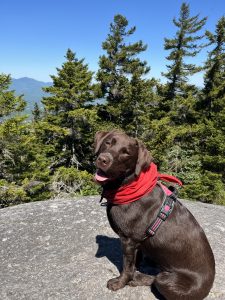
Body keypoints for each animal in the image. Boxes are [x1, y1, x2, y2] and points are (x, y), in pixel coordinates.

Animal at [94, 130, 215, 298]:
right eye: (108, 143)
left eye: (126, 153)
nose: (103, 160)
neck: (129, 187)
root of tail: (209, 286)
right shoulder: (136, 243)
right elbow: (134, 262)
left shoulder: (128, 240)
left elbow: (127, 267)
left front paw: (119, 283)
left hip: (168, 280)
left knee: (157, 279)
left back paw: (139, 278)